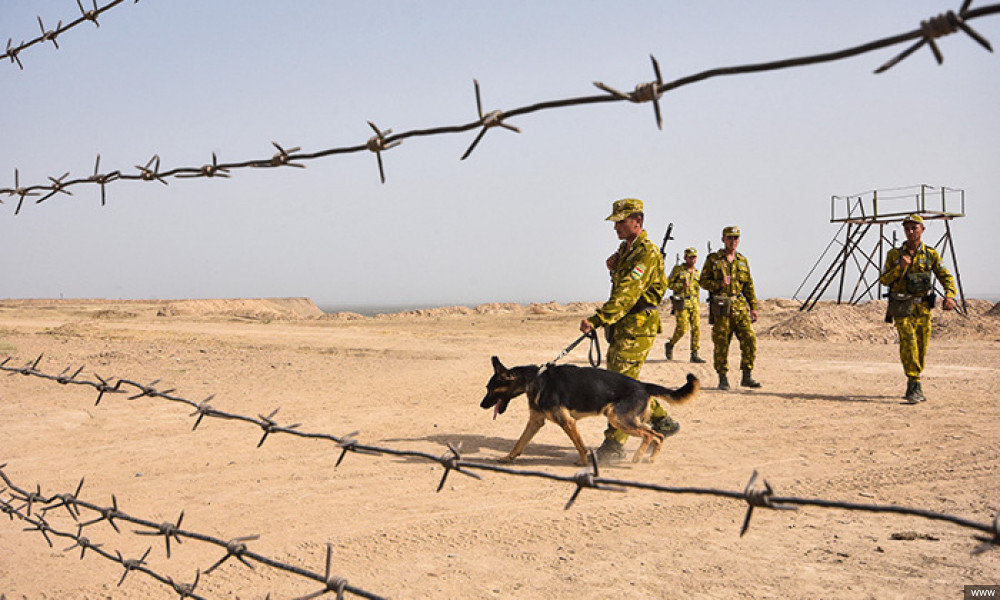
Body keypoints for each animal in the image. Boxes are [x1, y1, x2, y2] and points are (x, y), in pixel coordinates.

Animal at [482, 358, 700, 466]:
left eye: (491, 389)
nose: (481, 405)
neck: (535, 378)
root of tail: (643, 385)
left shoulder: (567, 422)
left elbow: (580, 445)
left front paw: (583, 461)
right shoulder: (535, 422)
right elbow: (519, 442)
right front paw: (508, 458)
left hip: (618, 418)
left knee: (649, 434)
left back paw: (638, 457)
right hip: (625, 420)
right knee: (658, 435)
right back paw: (651, 458)